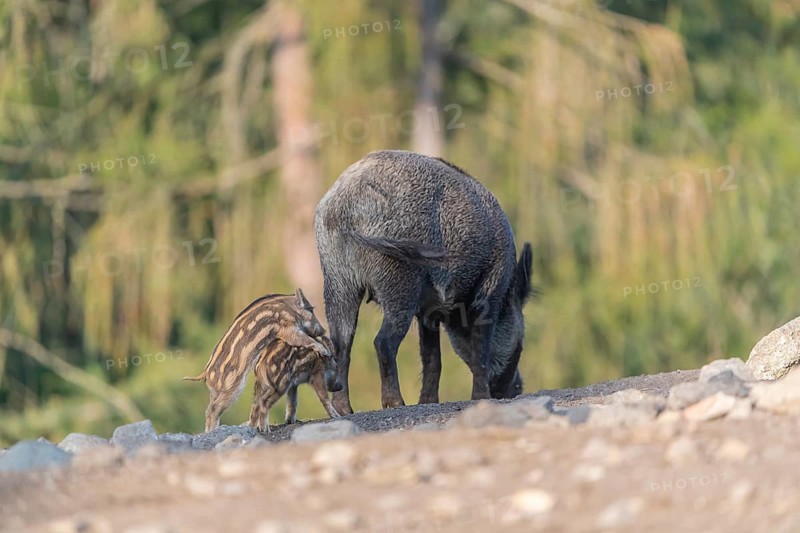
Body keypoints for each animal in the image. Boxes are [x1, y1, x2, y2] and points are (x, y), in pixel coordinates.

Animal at [314, 150, 534, 414]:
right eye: (521, 344)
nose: (517, 389)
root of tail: (345, 206)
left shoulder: (429, 311)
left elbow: (432, 356)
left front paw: (428, 402)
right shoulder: (488, 292)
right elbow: (479, 350)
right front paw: (481, 398)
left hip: (337, 279)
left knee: (341, 342)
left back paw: (345, 410)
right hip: (398, 279)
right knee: (382, 341)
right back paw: (395, 403)